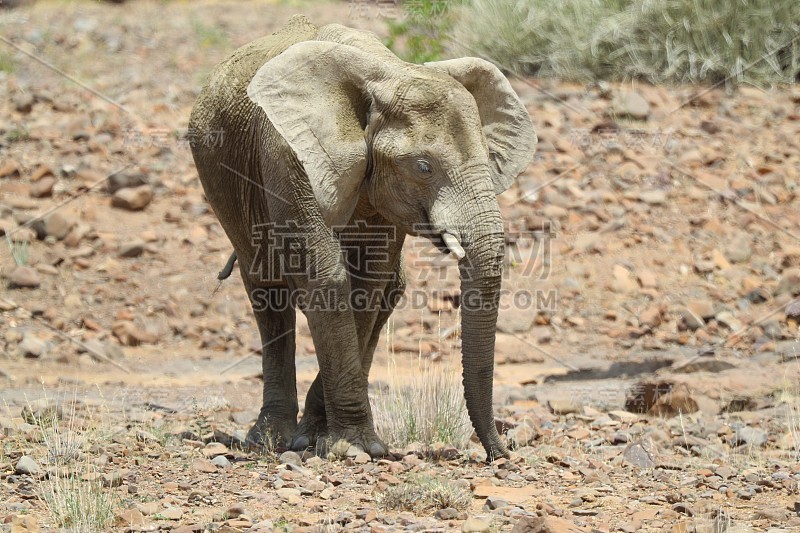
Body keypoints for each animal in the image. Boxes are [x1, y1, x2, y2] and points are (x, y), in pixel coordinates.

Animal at [188, 14, 536, 460]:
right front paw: (350, 448)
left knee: (390, 288)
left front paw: (332, 439)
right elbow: (326, 278)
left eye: (490, 158)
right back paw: (269, 440)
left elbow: (367, 285)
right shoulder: (288, 156)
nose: (503, 452)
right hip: (224, 184)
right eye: (423, 167)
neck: (387, 72)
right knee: (267, 289)